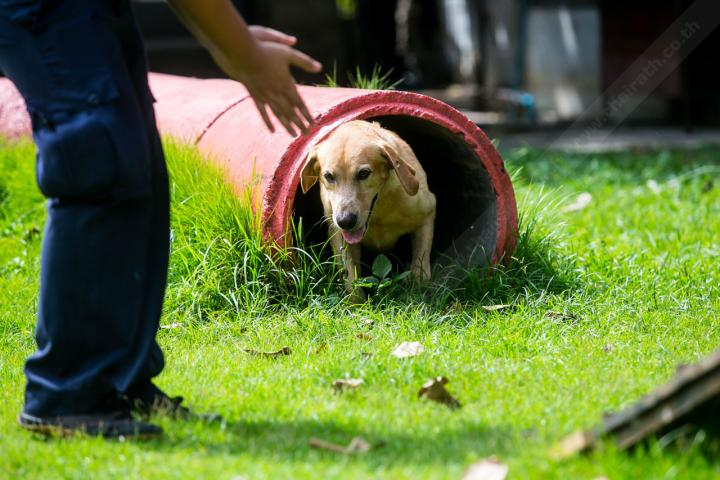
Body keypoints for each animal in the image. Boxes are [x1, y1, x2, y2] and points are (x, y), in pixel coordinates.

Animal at [300, 120, 436, 300]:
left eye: (364, 173)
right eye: (328, 176)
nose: (345, 221)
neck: (378, 213)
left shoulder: (426, 215)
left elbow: (420, 267)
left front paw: (418, 293)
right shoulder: (339, 236)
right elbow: (351, 279)